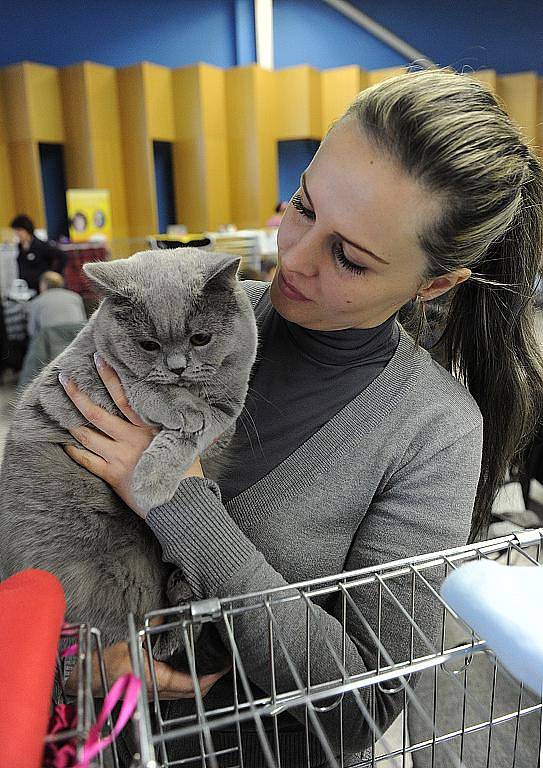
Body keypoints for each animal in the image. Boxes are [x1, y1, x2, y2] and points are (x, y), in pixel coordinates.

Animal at [0, 248, 258, 660]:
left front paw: (157, 470)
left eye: (200, 338)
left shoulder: (232, 405)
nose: (177, 368)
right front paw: (175, 426)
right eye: (148, 345)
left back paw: (181, 600)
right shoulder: (83, 370)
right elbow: (136, 382)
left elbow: (209, 425)